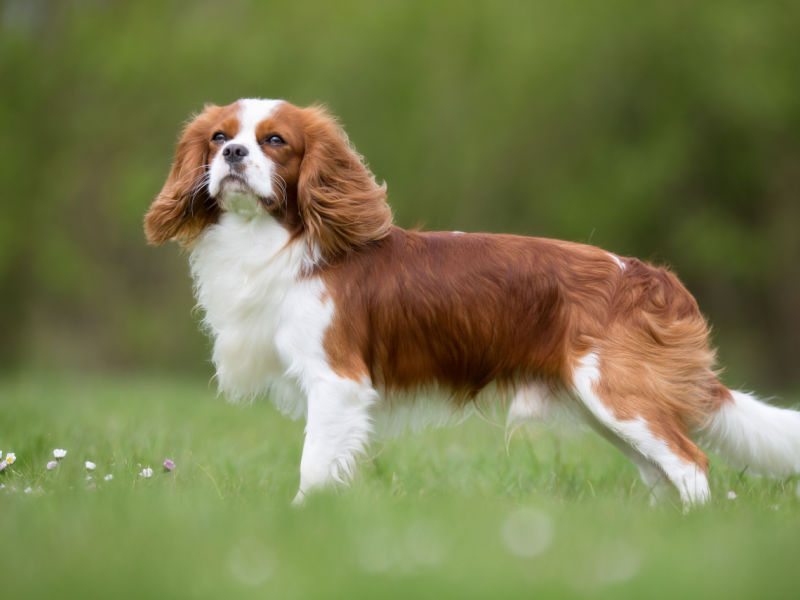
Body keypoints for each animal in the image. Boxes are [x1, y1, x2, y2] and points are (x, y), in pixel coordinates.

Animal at [145, 98, 800, 506]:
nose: (233, 155)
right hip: (607, 409)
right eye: (219, 137)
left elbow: (313, 465)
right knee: (663, 474)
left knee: (691, 464)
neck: (276, 239)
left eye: (275, 141)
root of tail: (653, 279)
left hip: (618, 395)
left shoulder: (337, 383)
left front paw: (302, 518)